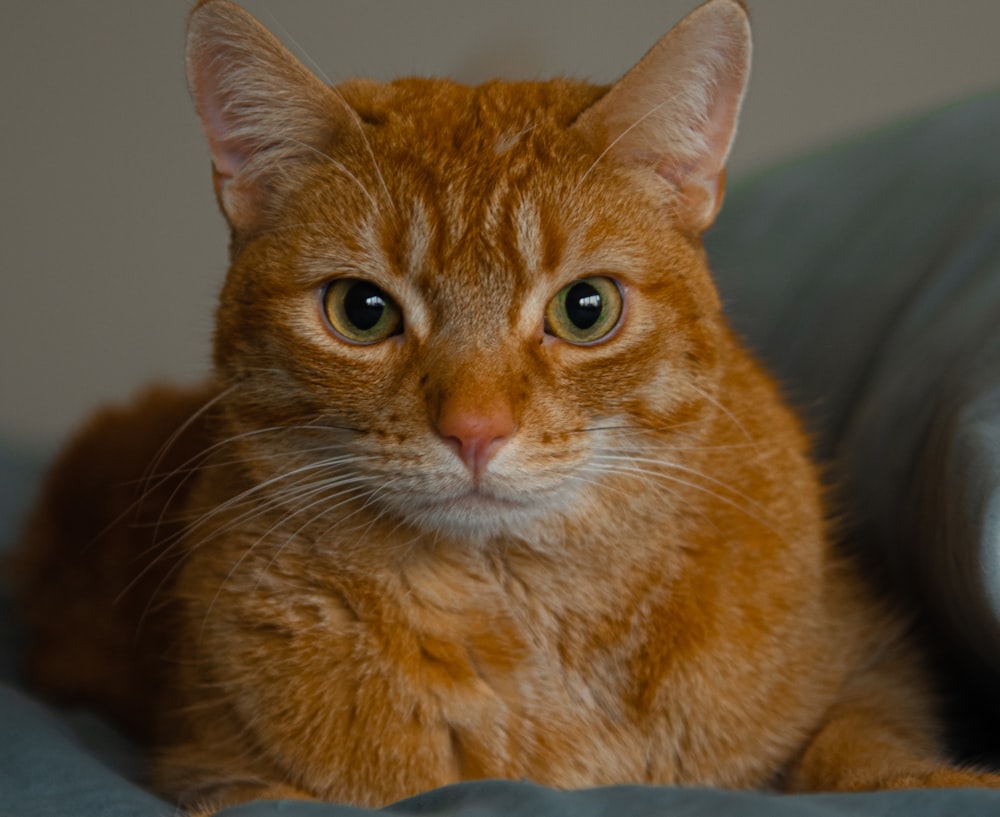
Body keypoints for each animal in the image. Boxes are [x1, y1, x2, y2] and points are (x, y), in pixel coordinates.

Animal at [9, 0, 1000, 812]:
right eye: (361, 311)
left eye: (585, 308)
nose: (476, 429)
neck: (526, 616)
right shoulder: (219, 774)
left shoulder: (876, 658)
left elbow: (861, 747)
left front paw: (933, 779)